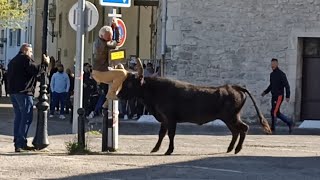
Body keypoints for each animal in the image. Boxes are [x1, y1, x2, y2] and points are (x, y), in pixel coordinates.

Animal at [116, 59, 272, 155]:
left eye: (129, 83)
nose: (119, 94)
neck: (156, 90)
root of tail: (233, 87)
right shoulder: (164, 119)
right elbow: (161, 134)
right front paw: (155, 149)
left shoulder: (170, 119)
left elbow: (170, 134)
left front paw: (169, 150)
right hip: (229, 118)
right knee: (235, 132)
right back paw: (230, 149)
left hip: (232, 117)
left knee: (243, 129)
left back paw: (237, 149)